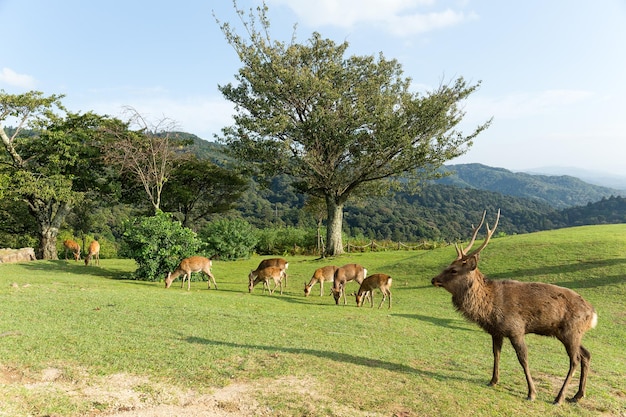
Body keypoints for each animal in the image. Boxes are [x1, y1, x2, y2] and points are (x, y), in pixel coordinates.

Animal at [428, 210, 596, 404]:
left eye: (454, 270)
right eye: (448, 265)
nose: (434, 279)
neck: (489, 308)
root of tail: (593, 314)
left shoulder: (516, 329)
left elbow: (523, 359)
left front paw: (531, 393)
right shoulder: (496, 331)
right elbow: (496, 353)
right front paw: (493, 380)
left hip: (571, 331)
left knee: (574, 360)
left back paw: (559, 397)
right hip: (570, 333)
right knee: (586, 354)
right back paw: (577, 395)